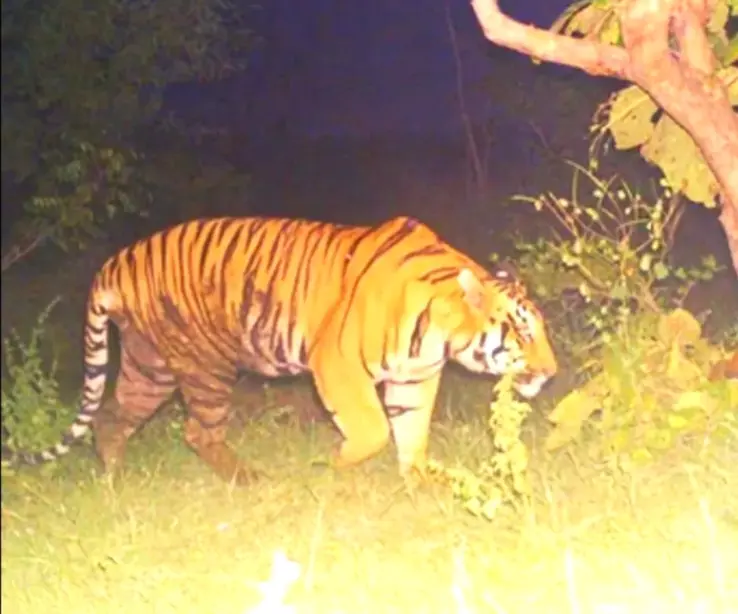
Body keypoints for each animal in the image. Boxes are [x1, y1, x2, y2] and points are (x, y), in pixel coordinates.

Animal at [3, 215, 557, 484]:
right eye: (524, 331)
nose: (552, 372)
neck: (440, 329)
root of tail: (115, 262)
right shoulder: (336, 365)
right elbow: (375, 430)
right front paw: (332, 466)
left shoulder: (415, 377)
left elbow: (411, 431)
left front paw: (421, 480)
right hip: (204, 365)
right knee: (196, 431)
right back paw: (247, 478)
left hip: (149, 365)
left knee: (111, 416)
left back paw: (113, 477)